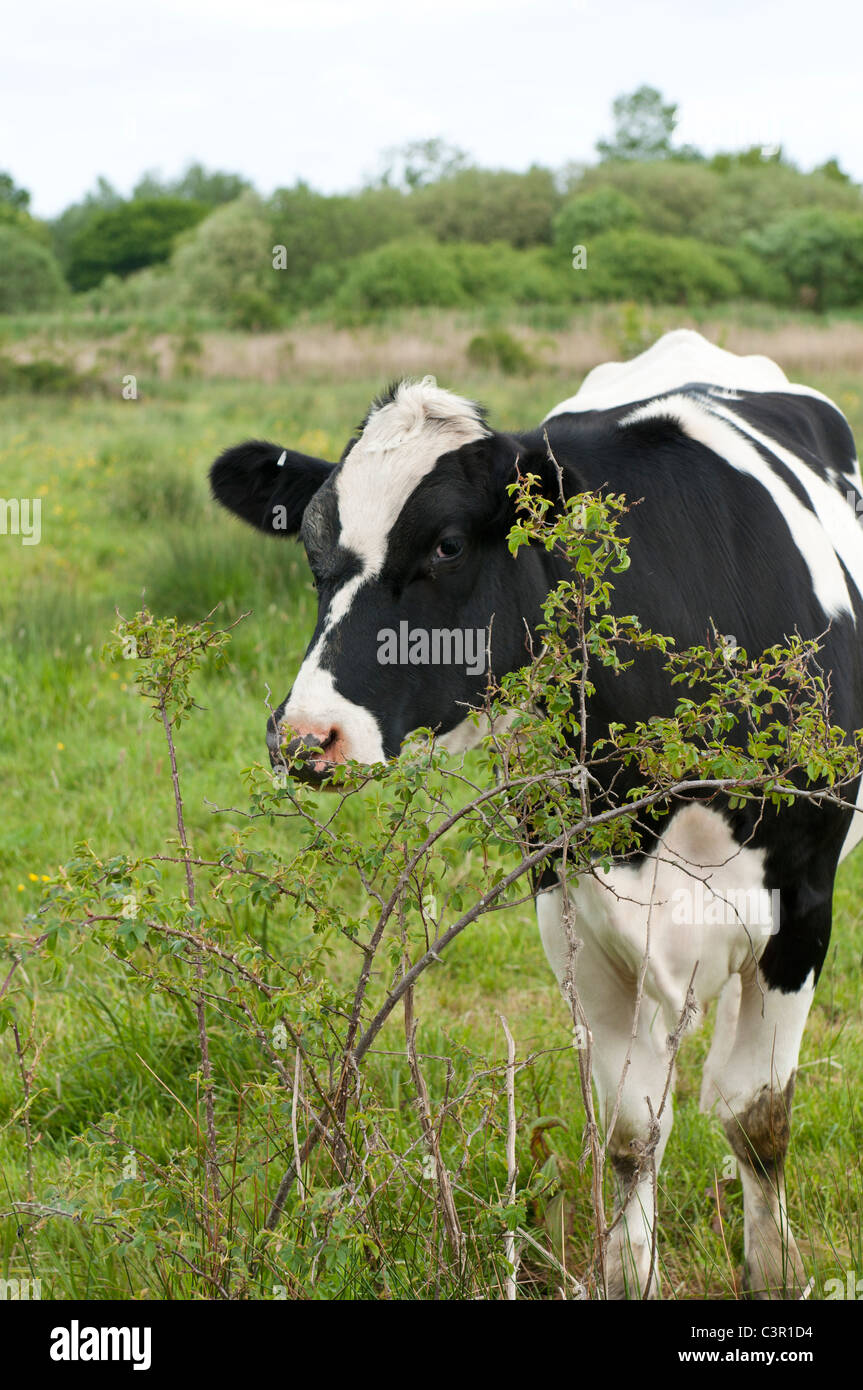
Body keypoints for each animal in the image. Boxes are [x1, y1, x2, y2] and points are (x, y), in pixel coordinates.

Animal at [209, 330, 861, 1295]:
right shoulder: (573, 907)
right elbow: (630, 1128)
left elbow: (756, 1116)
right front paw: (627, 1273)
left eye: (446, 545)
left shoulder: (802, 905)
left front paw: (773, 1271)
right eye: (313, 552)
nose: (305, 736)